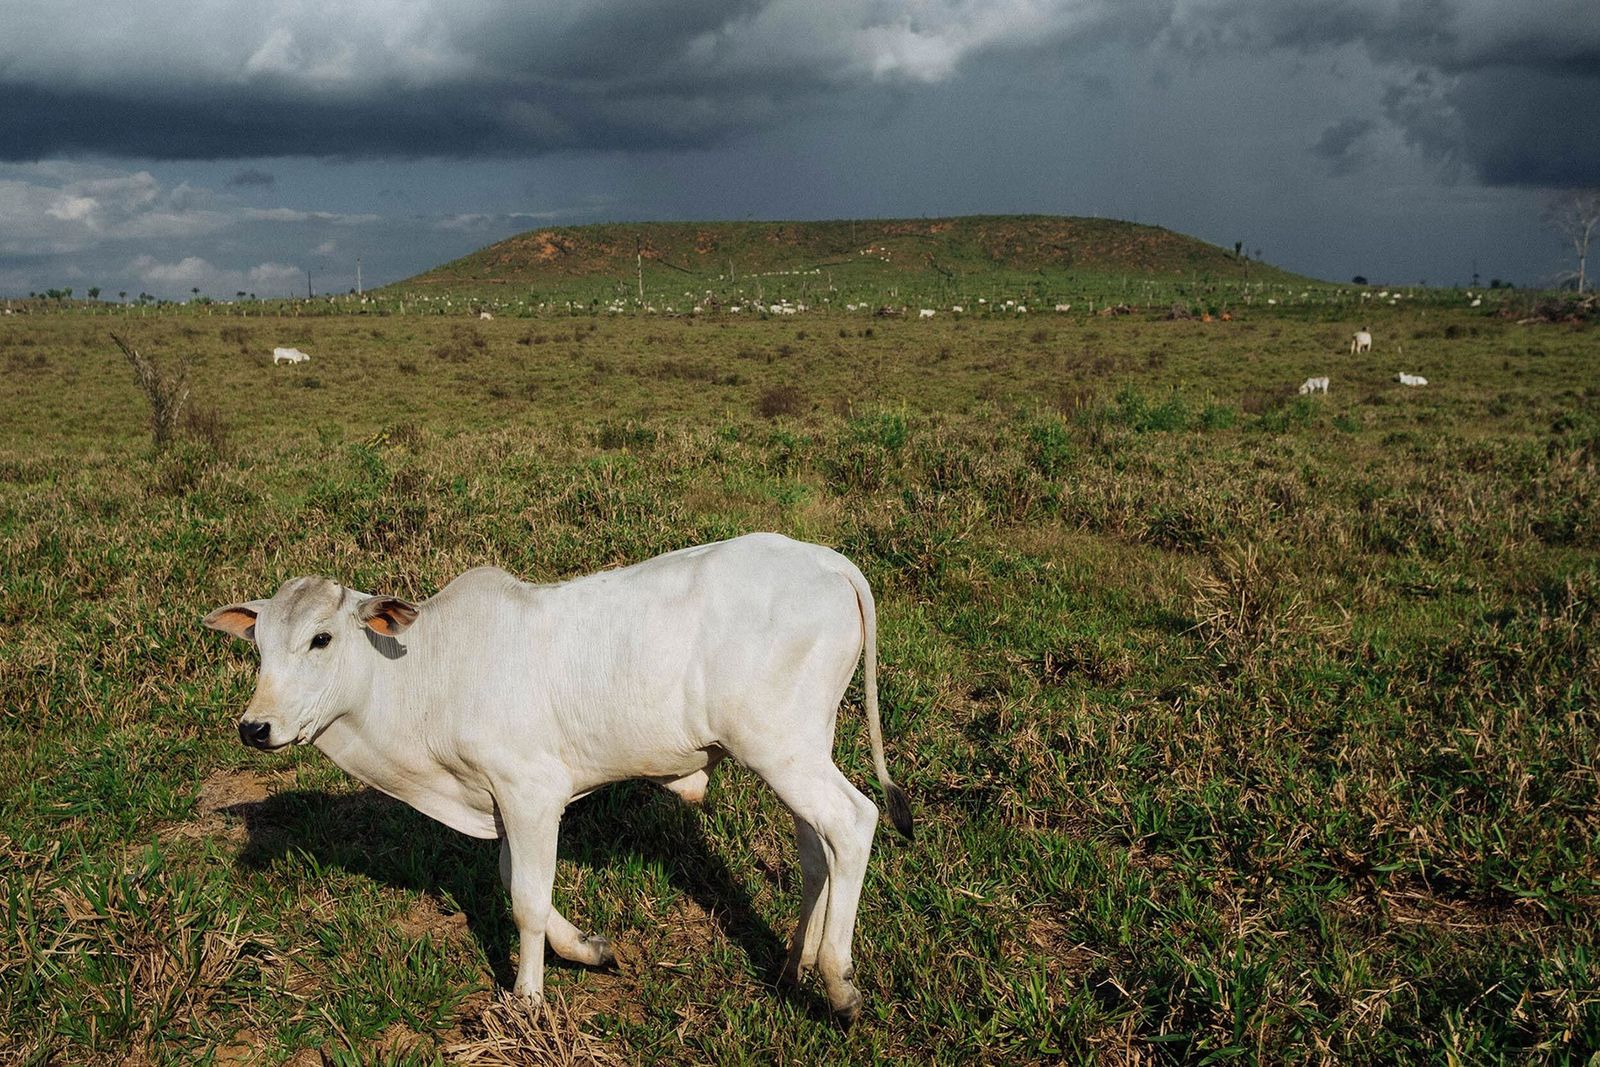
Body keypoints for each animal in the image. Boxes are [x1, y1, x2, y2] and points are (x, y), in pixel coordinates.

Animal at [206, 534, 915, 1023]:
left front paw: (527, 1000)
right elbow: (517, 884)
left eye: (321, 639)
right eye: (258, 646)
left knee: (853, 822)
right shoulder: (502, 803)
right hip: (801, 749)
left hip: (780, 748)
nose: (255, 727)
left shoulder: (531, 793)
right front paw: (590, 949)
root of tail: (824, 560)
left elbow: (524, 897)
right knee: (817, 852)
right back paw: (793, 965)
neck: (422, 669)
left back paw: (838, 982)